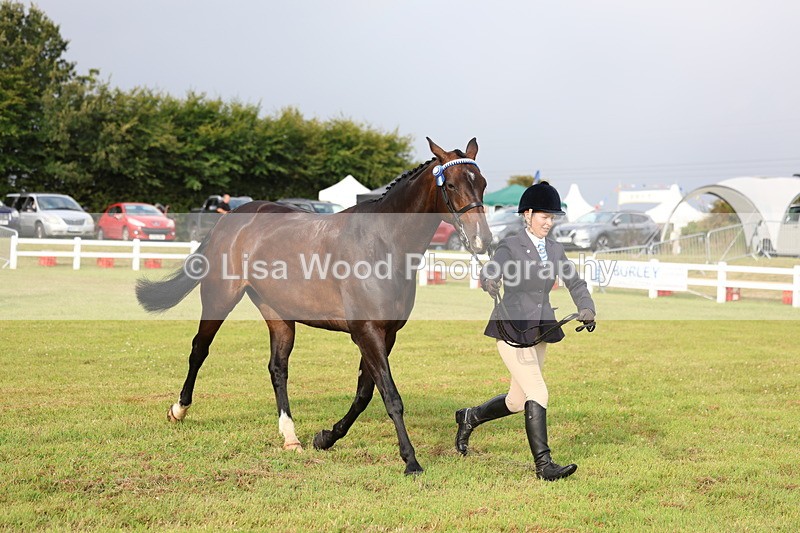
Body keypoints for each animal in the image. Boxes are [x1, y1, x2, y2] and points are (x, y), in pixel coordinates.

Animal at [136, 137, 492, 475]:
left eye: (483, 184)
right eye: (451, 185)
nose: (482, 240)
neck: (382, 243)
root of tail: (229, 221)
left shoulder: (385, 334)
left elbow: (364, 394)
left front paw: (326, 437)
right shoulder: (367, 332)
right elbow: (390, 396)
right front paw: (411, 461)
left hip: (278, 314)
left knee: (277, 368)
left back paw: (290, 437)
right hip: (219, 297)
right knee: (199, 349)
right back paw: (178, 410)